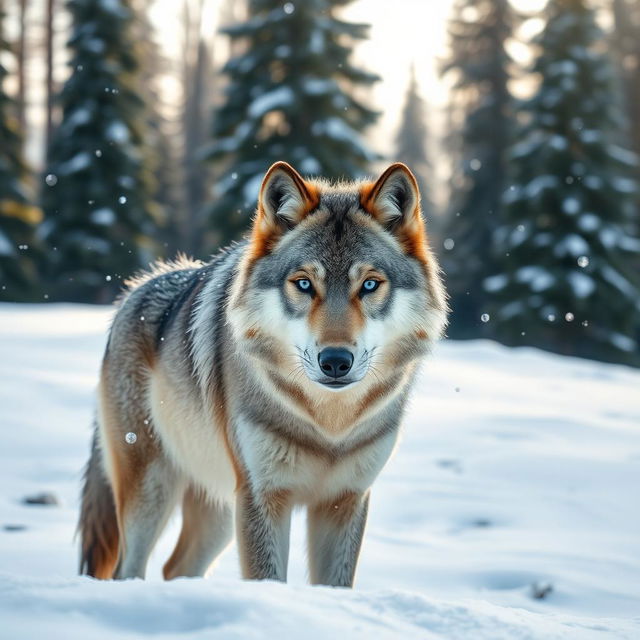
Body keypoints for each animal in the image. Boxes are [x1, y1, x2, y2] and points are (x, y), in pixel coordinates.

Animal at [77, 160, 444, 584]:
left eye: (369, 284)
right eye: (304, 284)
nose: (336, 361)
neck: (329, 426)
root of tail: (132, 292)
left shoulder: (346, 499)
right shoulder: (261, 495)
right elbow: (267, 578)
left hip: (219, 506)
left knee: (175, 566)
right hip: (154, 492)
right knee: (128, 568)